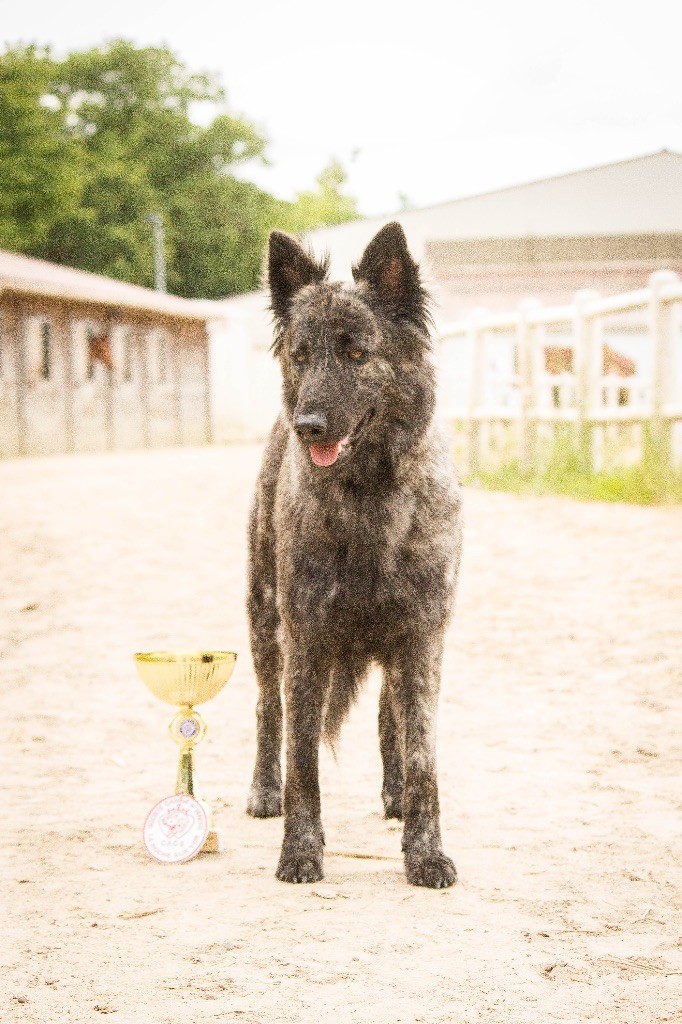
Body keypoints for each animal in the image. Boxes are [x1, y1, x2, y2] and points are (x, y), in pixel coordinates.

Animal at [246, 222, 462, 888]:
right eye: (301, 354)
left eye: (356, 354)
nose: (309, 424)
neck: (368, 495)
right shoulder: (307, 639)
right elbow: (302, 756)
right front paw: (300, 850)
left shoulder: (420, 638)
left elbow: (421, 756)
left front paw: (425, 852)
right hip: (264, 622)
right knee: (268, 710)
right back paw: (263, 790)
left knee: (388, 718)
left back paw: (393, 796)